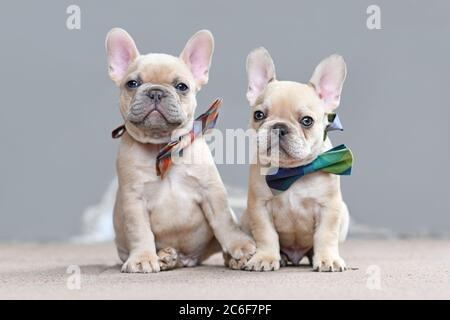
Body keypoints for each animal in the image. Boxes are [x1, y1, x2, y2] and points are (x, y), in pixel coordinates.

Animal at [103, 28, 255, 272]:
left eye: (181, 86)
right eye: (132, 83)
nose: (156, 92)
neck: (163, 146)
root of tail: (190, 258)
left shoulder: (211, 192)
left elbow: (224, 222)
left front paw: (240, 246)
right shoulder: (133, 200)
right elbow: (140, 232)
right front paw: (142, 258)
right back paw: (166, 257)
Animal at [239, 48, 348, 272]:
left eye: (307, 121)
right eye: (259, 115)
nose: (279, 127)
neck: (290, 172)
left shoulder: (330, 208)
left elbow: (326, 235)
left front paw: (328, 259)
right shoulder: (258, 207)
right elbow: (266, 234)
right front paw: (265, 257)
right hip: (245, 217)